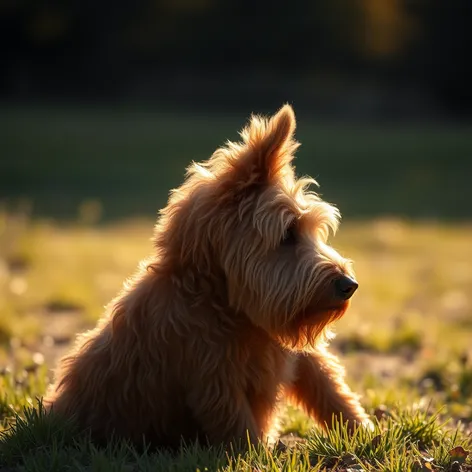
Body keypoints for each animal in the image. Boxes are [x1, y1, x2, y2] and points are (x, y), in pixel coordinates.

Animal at [43, 104, 368, 450]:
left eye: (313, 231)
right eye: (288, 234)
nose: (349, 286)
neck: (228, 305)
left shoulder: (299, 355)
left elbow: (332, 390)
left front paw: (367, 434)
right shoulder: (214, 381)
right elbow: (241, 430)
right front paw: (258, 458)